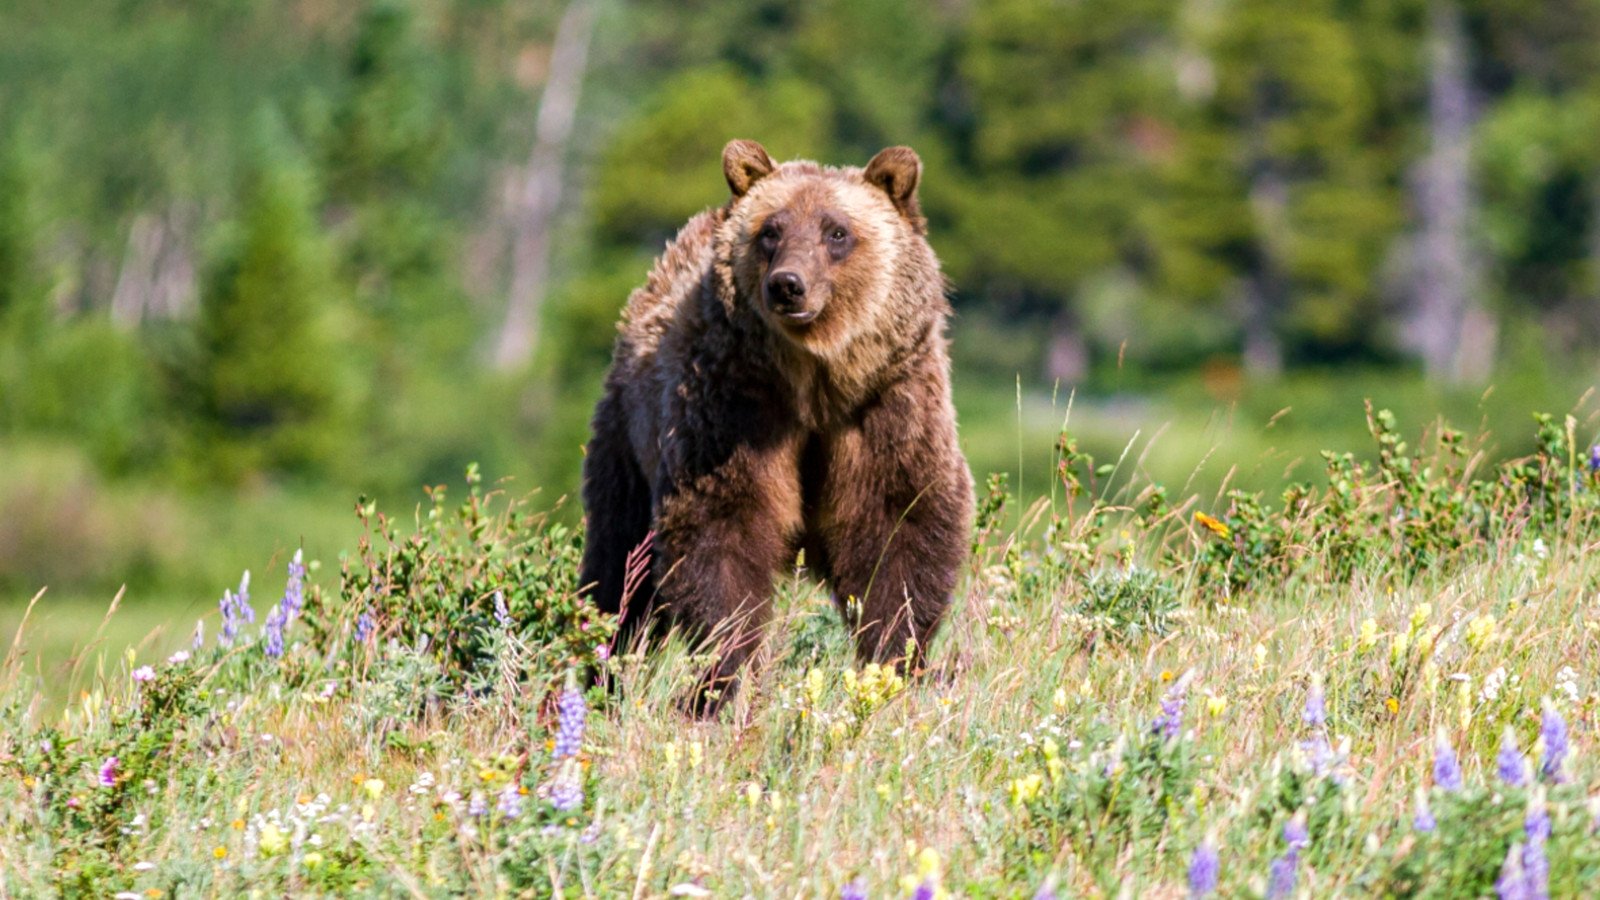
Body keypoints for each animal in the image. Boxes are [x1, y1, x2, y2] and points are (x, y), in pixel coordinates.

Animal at [579, 139, 974, 713]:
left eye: (837, 232)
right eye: (771, 229)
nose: (788, 285)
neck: (815, 384)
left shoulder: (886, 408)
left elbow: (900, 525)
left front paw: (896, 662)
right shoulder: (735, 407)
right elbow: (721, 531)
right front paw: (725, 679)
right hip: (630, 436)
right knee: (619, 566)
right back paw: (600, 671)